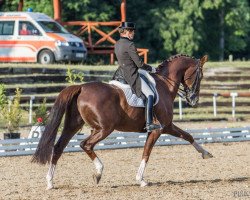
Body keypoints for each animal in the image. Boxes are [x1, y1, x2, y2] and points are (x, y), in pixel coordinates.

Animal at [32, 54, 213, 189]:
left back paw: (50, 182)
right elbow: (147, 152)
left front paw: (206, 153)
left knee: (58, 147)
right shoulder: (159, 129)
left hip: (74, 125)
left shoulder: (167, 126)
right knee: (86, 145)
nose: (194, 100)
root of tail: (81, 87)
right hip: (104, 129)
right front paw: (141, 180)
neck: (164, 85)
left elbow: (188, 136)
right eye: (200, 76)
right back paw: (98, 172)